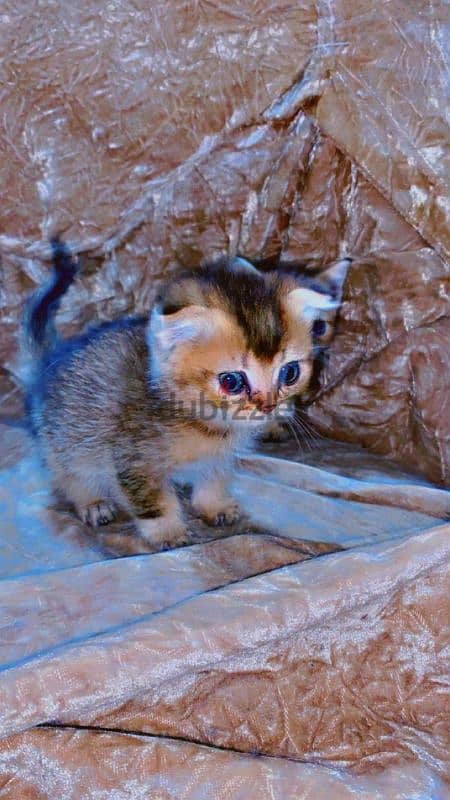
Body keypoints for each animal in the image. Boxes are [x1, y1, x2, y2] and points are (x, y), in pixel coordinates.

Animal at [23, 241, 348, 548]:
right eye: (231, 381)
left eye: (290, 373)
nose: (268, 406)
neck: (202, 419)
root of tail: (51, 361)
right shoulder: (133, 455)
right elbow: (151, 498)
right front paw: (167, 532)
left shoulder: (219, 455)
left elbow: (214, 477)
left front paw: (213, 506)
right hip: (64, 438)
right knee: (70, 472)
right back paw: (92, 502)